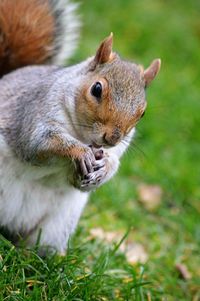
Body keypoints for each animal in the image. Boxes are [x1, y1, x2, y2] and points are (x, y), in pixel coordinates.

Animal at [0, 0, 160, 253]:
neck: (82, 133)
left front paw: (104, 168)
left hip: (56, 225)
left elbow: (105, 167)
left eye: (142, 112)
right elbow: (39, 143)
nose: (112, 138)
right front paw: (80, 152)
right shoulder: (34, 113)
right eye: (96, 89)